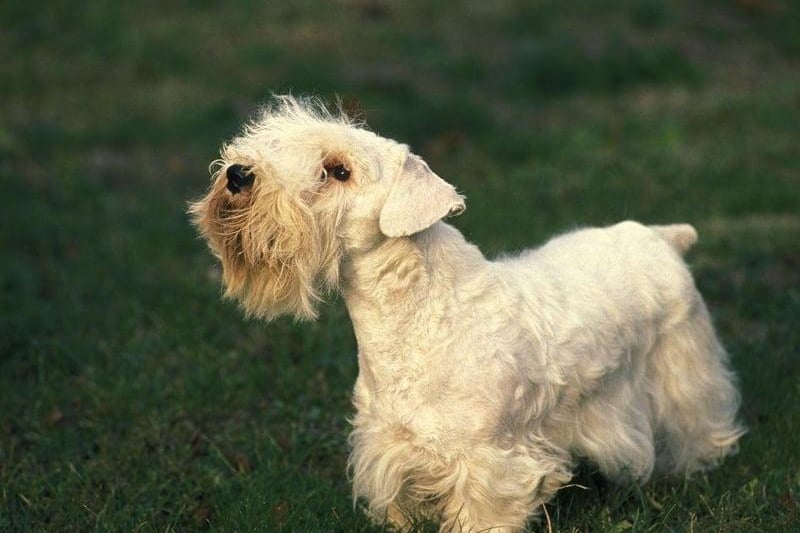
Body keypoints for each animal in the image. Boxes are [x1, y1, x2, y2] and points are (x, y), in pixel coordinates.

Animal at [189, 96, 744, 532]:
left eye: (339, 171)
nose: (238, 175)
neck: (414, 319)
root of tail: (662, 237)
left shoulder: (489, 465)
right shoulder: (391, 449)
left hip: (683, 369)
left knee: (700, 423)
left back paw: (697, 470)